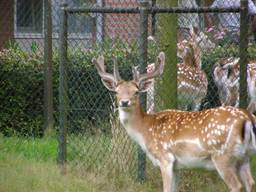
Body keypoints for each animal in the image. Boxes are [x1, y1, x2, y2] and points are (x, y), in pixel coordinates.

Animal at [93, 51, 256, 192]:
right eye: (116, 92)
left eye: (136, 92)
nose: (124, 102)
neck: (146, 129)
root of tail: (247, 119)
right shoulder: (177, 166)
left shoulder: (165, 158)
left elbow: (166, 189)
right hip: (245, 157)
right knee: (250, 182)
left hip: (222, 155)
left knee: (237, 186)